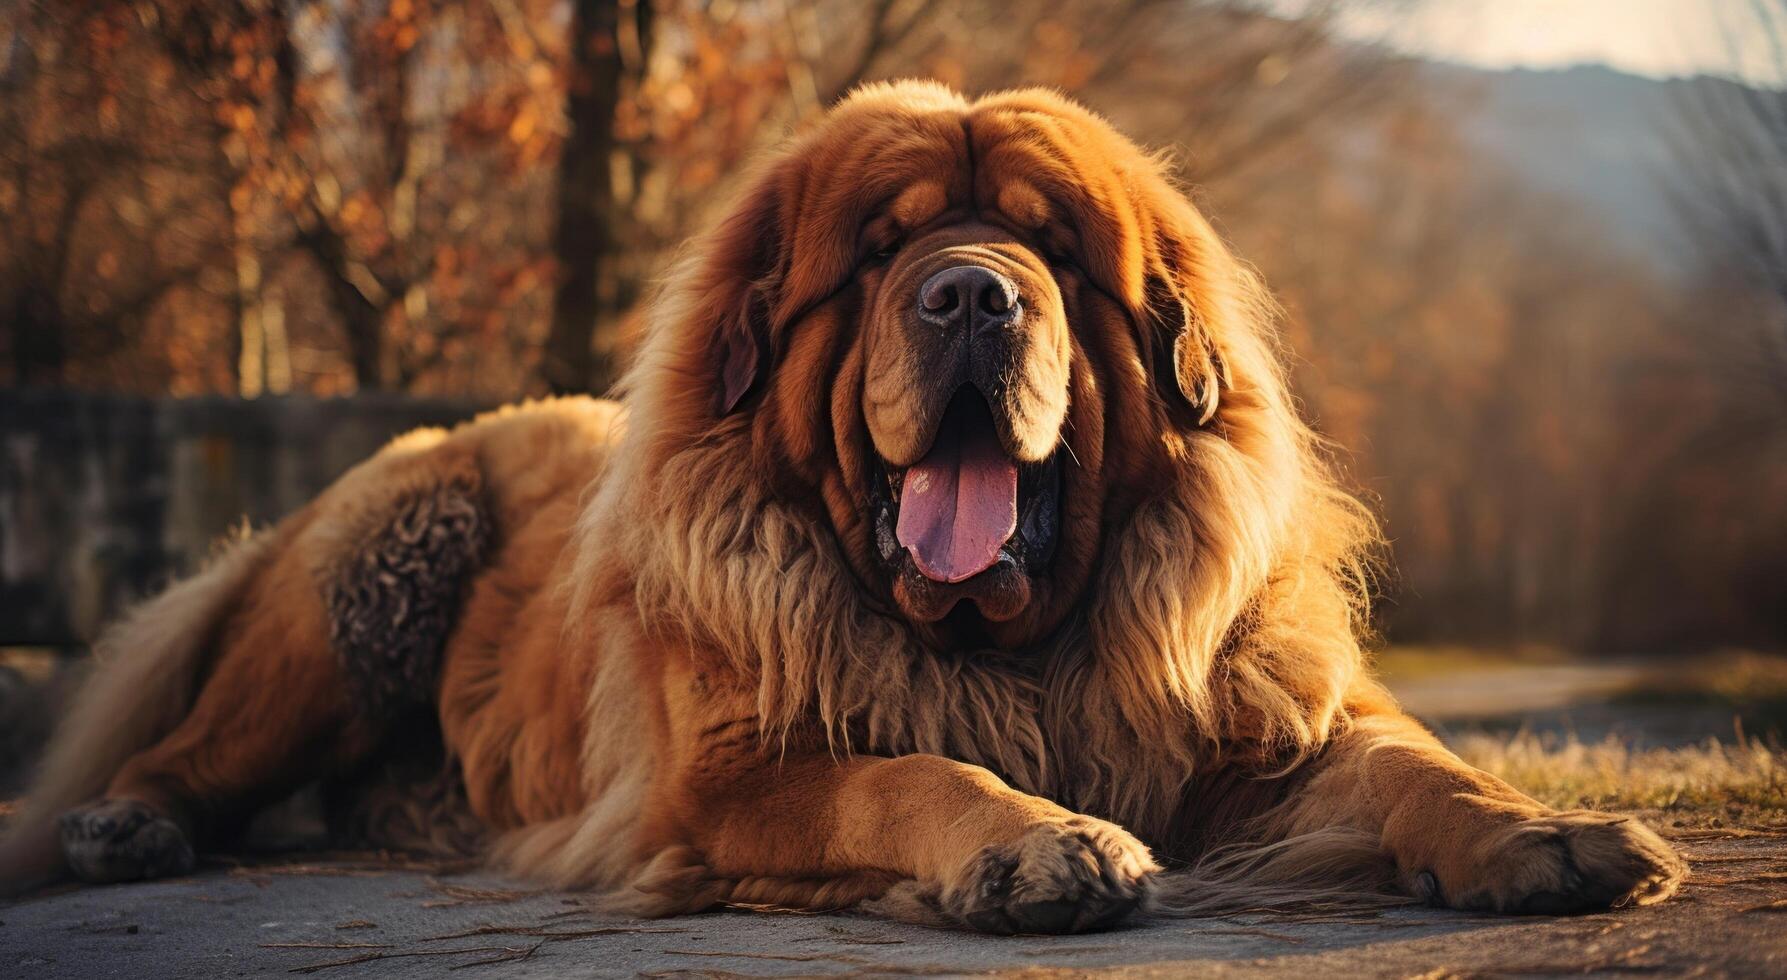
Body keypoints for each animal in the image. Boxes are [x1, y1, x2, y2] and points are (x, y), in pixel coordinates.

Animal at [3, 82, 1672, 929]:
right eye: (878, 256)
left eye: (1051, 253)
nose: (971, 297)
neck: (1005, 647)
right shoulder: (728, 780)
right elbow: (908, 774)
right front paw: (1035, 847)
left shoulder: (1247, 733)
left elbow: (1408, 767)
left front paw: (1535, 832)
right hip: (373, 582)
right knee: (194, 747)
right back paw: (124, 826)